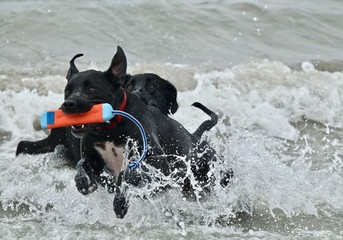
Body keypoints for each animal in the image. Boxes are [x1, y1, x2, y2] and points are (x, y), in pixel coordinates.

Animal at [16, 46, 231, 218]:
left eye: (91, 88)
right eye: (67, 89)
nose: (68, 104)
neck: (109, 129)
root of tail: (194, 136)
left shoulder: (157, 160)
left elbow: (127, 173)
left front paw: (121, 199)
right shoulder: (91, 157)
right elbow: (82, 164)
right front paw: (84, 181)